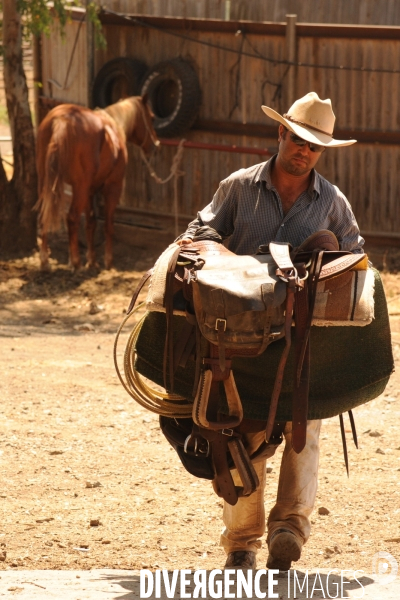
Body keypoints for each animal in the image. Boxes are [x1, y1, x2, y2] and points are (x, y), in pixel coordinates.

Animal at [34, 95, 159, 270]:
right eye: (152, 118)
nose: (155, 146)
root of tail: (62, 120)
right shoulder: (113, 187)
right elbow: (108, 225)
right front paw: (108, 261)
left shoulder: (90, 191)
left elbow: (91, 223)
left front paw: (92, 259)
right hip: (80, 187)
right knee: (72, 217)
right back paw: (75, 262)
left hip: (46, 182)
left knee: (43, 215)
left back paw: (45, 260)